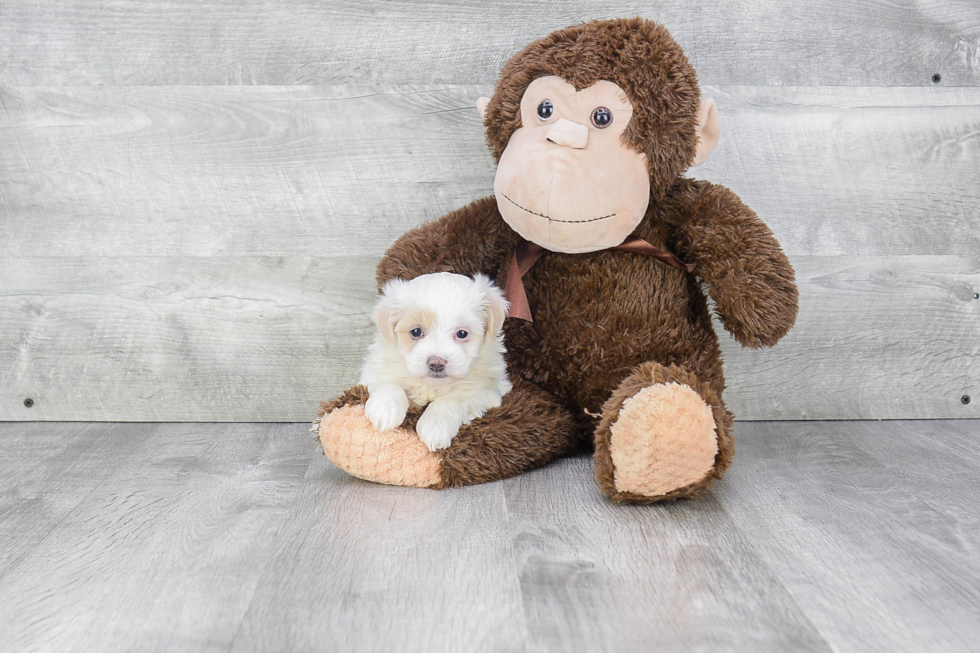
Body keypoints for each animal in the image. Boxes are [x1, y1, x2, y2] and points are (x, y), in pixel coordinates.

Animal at [360, 272, 512, 450]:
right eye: (416, 331)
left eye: (462, 334)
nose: (437, 363)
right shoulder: (375, 369)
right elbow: (389, 384)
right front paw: (384, 409)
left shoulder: (485, 391)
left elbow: (451, 398)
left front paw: (434, 428)